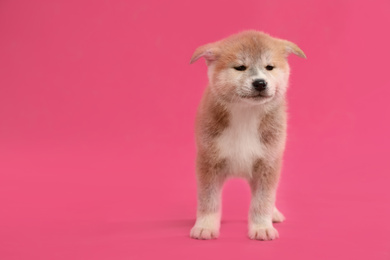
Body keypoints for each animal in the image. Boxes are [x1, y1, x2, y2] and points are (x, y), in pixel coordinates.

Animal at [190, 31, 306, 242]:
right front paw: (205, 226)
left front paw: (262, 227)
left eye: (269, 67)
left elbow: (263, 201)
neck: (246, 113)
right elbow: (209, 201)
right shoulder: (209, 162)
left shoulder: (267, 164)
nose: (260, 82)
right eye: (240, 67)